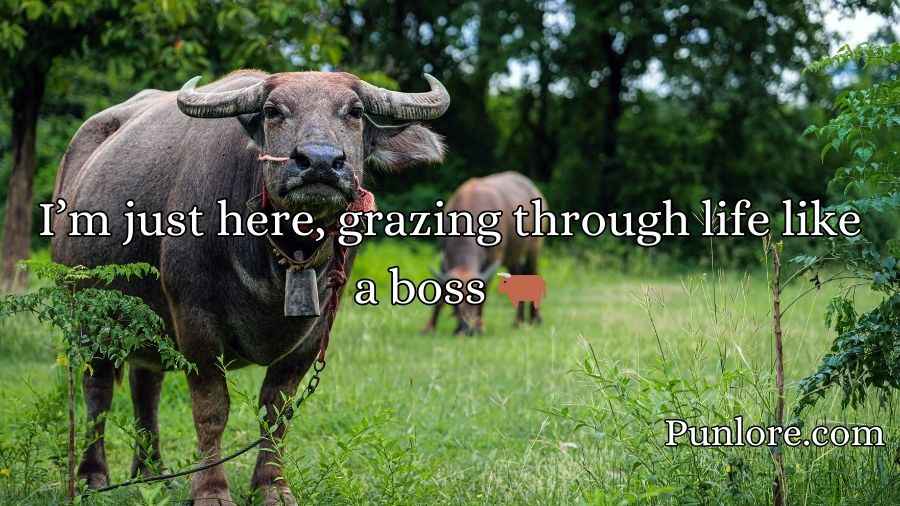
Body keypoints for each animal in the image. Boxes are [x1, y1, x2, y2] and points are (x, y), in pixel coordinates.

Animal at [52, 70, 449, 505]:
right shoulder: (196, 325)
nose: (320, 162)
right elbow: (211, 410)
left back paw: (154, 475)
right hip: (86, 315)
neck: (284, 258)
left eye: (355, 111)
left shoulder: (312, 336)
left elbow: (276, 411)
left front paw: (272, 486)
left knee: (145, 387)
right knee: (98, 391)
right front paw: (211, 489)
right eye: (273, 111)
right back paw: (93, 477)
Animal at [424, 171, 546, 335]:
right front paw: (429, 327)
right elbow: (440, 290)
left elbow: (485, 288)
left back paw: (535, 319)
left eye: (476, 299)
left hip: (534, 248)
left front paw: (480, 326)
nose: (466, 328)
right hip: (512, 256)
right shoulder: (445, 257)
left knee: (533, 272)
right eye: (454, 300)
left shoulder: (494, 257)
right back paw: (518, 321)